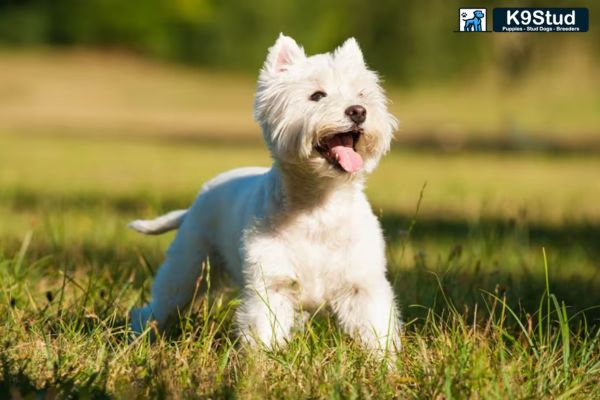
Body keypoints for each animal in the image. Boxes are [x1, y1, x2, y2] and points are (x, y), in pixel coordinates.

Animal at [132, 34, 404, 354]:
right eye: (317, 95)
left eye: (362, 94)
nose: (358, 111)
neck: (319, 206)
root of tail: (198, 200)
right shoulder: (271, 285)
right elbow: (264, 333)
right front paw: (264, 363)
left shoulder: (361, 285)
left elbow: (376, 332)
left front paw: (383, 363)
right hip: (188, 268)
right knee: (157, 307)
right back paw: (139, 337)